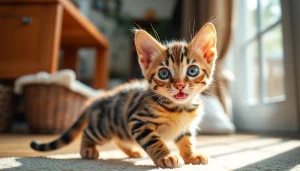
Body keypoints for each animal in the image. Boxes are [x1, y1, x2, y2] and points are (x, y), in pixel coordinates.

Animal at [30, 23, 217, 168]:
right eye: (164, 73)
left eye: (192, 71)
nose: (179, 85)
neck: (180, 108)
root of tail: (97, 99)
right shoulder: (138, 121)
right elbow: (154, 140)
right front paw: (166, 156)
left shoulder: (185, 127)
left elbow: (187, 141)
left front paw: (191, 155)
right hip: (104, 128)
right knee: (88, 132)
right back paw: (87, 149)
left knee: (119, 139)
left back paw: (132, 150)